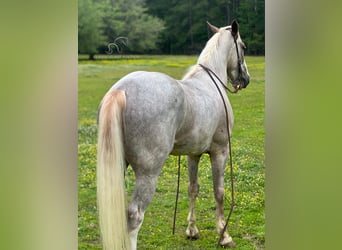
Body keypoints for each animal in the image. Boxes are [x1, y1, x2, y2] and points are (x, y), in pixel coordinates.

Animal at [97, 20, 250, 249]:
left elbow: (193, 188)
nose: (245, 79)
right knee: (134, 216)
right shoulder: (220, 151)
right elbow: (219, 191)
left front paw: (192, 230)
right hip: (148, 174)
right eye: (243, 47)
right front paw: (224, 236)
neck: (209, 84)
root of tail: (121, 90)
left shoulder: (193, 154)